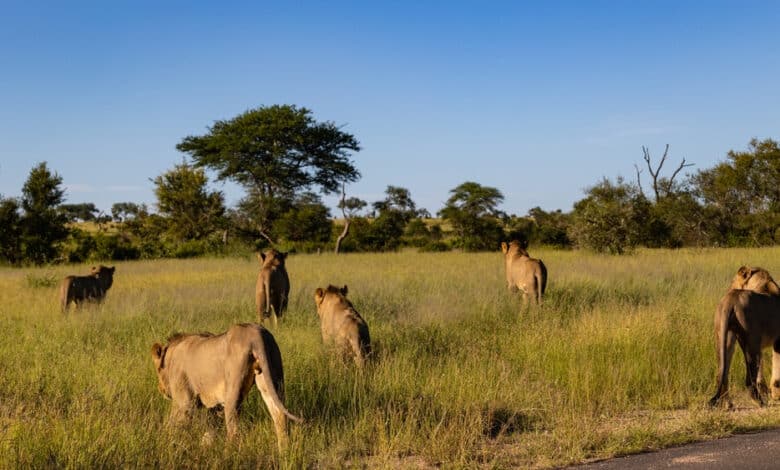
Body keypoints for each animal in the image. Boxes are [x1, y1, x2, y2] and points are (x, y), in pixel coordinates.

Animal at [151, 322, 304, 450]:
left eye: (158, 370)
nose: (161, 389)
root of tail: (256, 335)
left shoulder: (184, 401)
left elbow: (173, 423)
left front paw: (164, 442)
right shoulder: (215, 405)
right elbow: (211, 427)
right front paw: (206, 444)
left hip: (233, 387)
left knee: (234, 428)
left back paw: (228, 453)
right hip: (272, 377)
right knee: (279, 414)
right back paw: (284, 451)